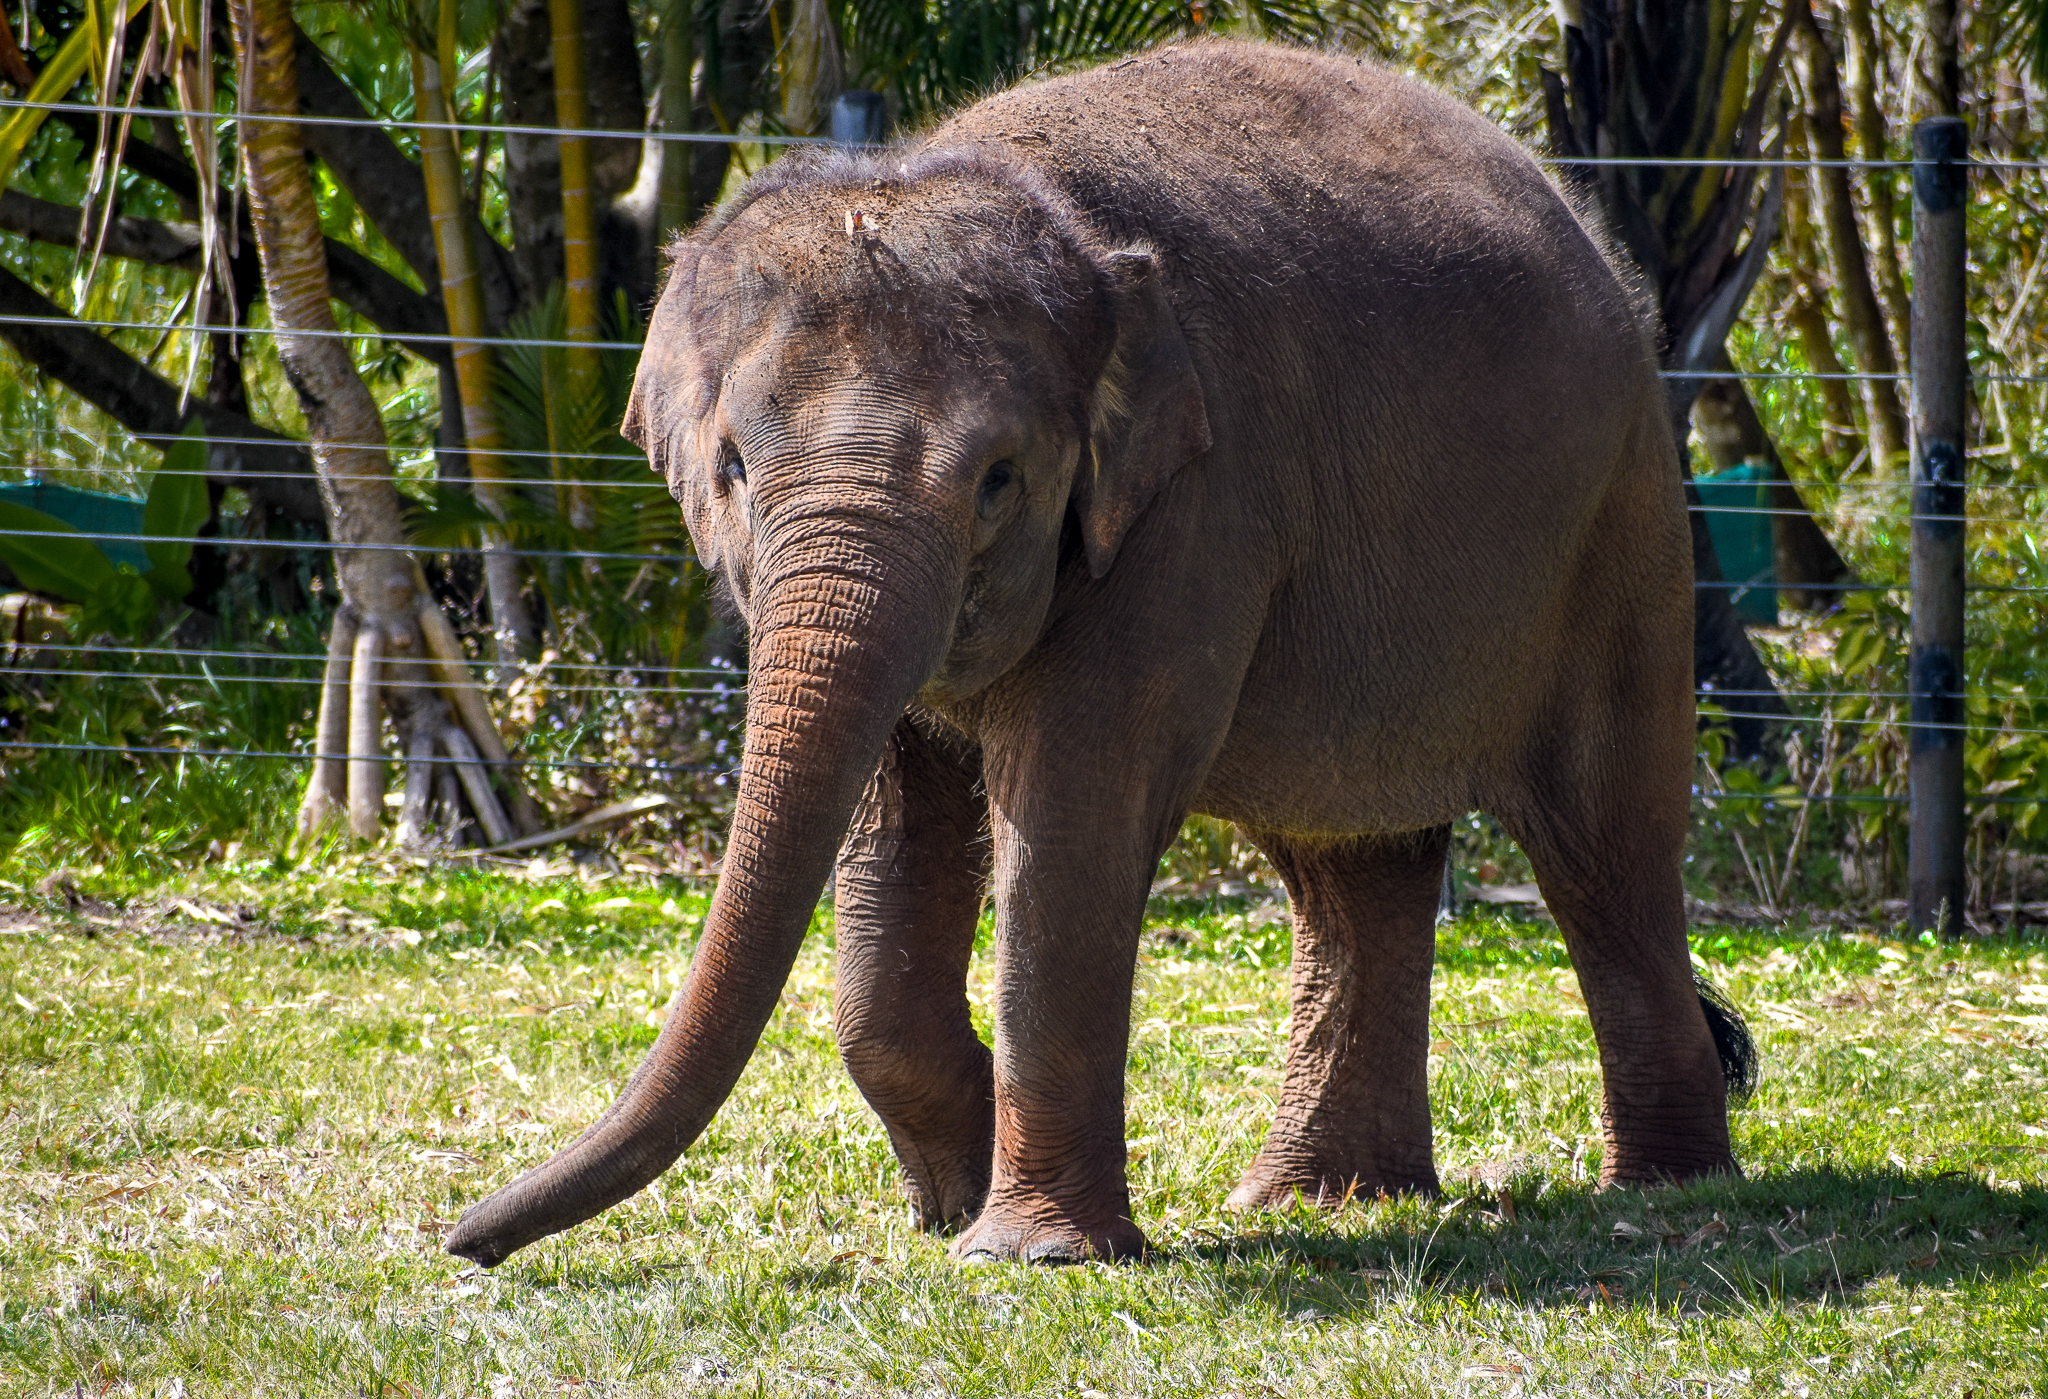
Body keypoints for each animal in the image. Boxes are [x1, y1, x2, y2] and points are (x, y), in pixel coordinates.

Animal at [447, 37, 1754, 1269]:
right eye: (727, 467)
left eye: (998, 479)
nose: (462, 1238)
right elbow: (891, 812)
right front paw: (957, 1196)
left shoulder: (1194, 509)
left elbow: (1073, 815)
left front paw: (1022, 1249)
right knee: (1352, 862)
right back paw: (1326, 1199)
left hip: (1627, 521)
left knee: (1601, 846)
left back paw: (1665, 1192)